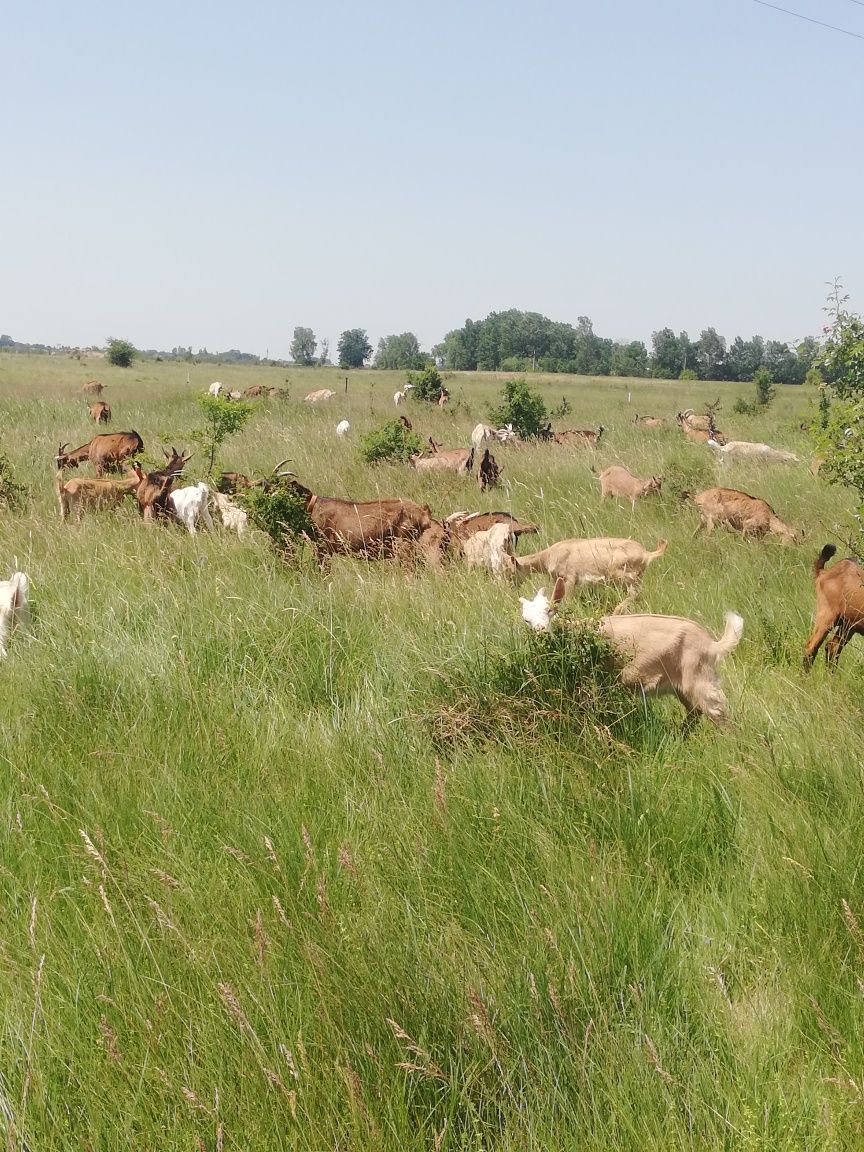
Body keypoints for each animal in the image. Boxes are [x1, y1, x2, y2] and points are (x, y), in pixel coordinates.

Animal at [506, 534, 668, 612]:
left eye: (510, 571)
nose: (511, 587)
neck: (548, 556)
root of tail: (647, 554)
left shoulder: (569, 579)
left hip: (623, 575)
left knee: (635, 593)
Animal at [520, 580, 746, 723]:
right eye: (525, 620)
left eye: (550, 610)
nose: (541, 631)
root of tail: (712, 645)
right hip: (683, 686)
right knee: (694, 713)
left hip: (700, 678)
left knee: (719, 714)